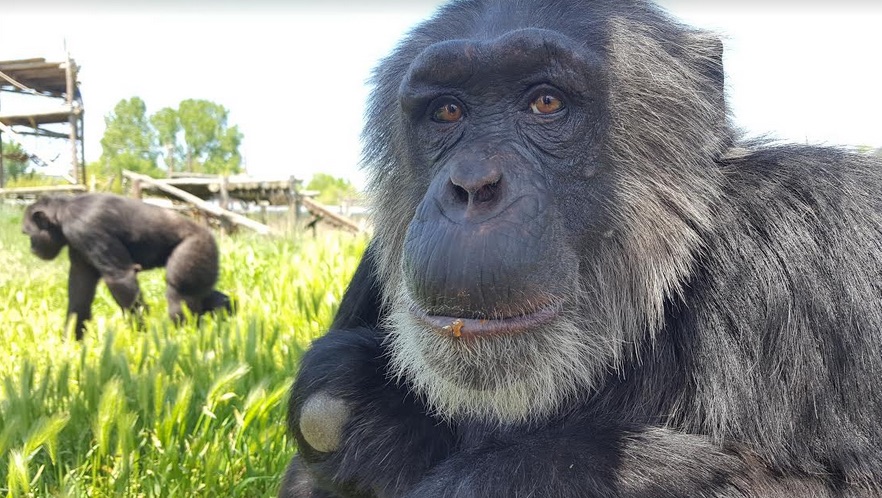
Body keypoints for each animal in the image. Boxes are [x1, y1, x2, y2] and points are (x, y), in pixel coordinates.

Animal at [22, 193, 232, 340]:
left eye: (27, 233)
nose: (31, 247)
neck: (63, 213)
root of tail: (209, 233)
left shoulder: (85, 227)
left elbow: (120, 279)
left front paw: (140, 333)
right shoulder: (77, 246)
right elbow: (80, 290)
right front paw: (70, 341)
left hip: (193, 248)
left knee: (178, 294)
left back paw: (183, 335)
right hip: (204, 259)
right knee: (201, 292)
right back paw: (226, 310)